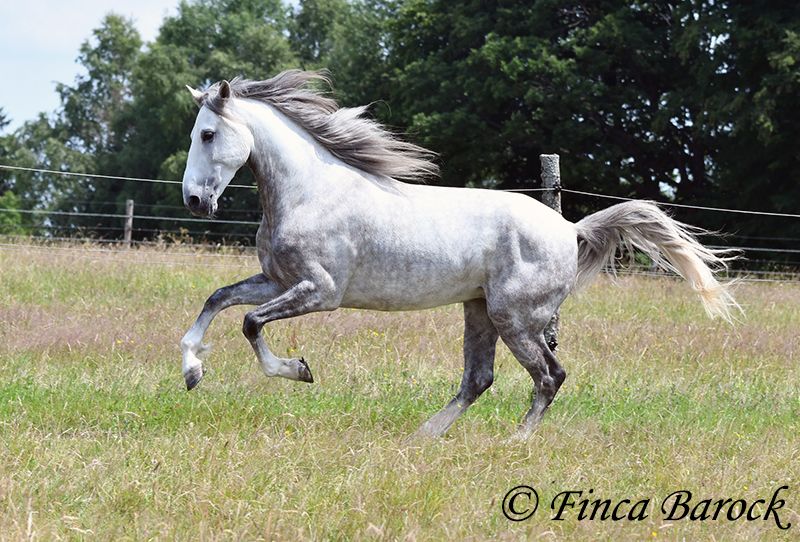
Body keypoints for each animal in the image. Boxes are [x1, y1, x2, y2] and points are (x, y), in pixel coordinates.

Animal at [180, 70, 738, 438]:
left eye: (208, 134)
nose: (195, 201)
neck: (309, 193)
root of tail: (569, 229)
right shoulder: (277, 280)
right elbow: (216, 300)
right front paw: (191, 370)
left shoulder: (320, 291)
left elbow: (250, 322)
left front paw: (299, 370)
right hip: (479, 311)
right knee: (479, 379)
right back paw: (424, 436)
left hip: (515, 317)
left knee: (549, 376)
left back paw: (514, 442)